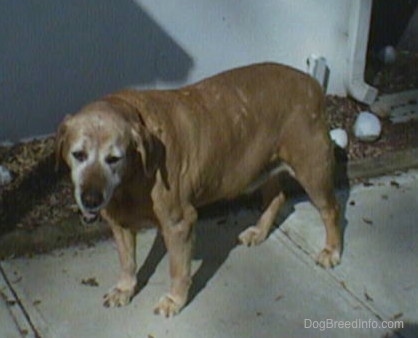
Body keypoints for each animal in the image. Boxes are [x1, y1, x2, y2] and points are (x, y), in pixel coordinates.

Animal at [55, 62, 342, 316]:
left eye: (114, 158)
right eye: (78, 154)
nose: (91, 199)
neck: (133, 176)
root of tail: (311, 82)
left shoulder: (179, 223)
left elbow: (177, 269)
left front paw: (175, 300)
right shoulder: (119, 222)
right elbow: (127, 262)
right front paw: (125, 289)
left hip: (312, 169)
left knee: (331, 209)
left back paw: (332, 250)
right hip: (263, 165)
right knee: (277, 197)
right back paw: (259, 232)